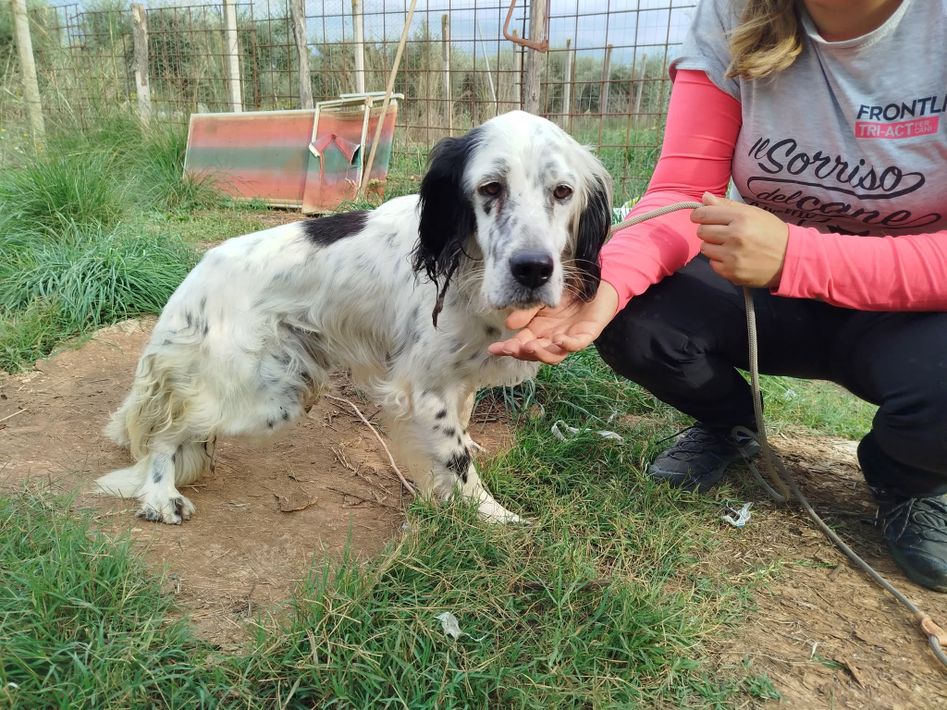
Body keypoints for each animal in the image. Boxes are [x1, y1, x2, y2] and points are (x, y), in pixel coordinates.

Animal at [96, 110, 613, 524]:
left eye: (562, 191)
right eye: (490, 188)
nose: (533, 269)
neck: (467, 264)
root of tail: (196, 278)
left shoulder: (458, 378)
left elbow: (462, 432)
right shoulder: (424, 390)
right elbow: (456, 460)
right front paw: (494, 517)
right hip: (262, 396)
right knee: (165, 431)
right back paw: (160, 494)